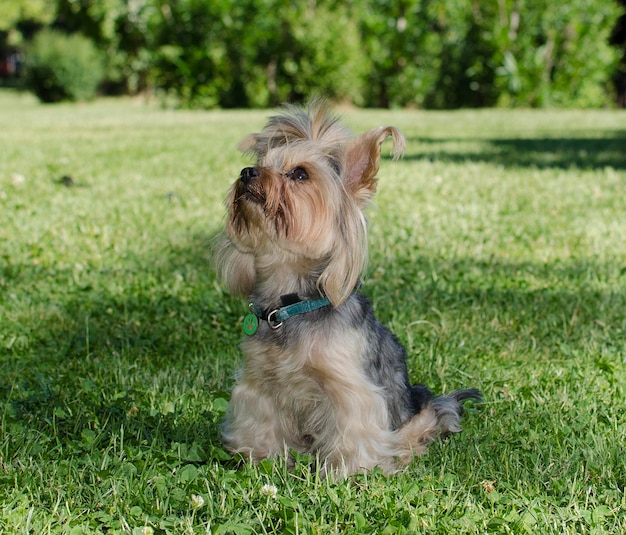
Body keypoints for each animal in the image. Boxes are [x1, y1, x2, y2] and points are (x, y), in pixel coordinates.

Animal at [214, 100, 478, 478]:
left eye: (299, 174)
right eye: (264, 164)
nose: (248, 171)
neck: (292, 303)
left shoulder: (349, 389)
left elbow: (352, 430)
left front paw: (347, 472)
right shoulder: (258, 383)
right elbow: (260, 423)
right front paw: (261, 459)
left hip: (422, 411)